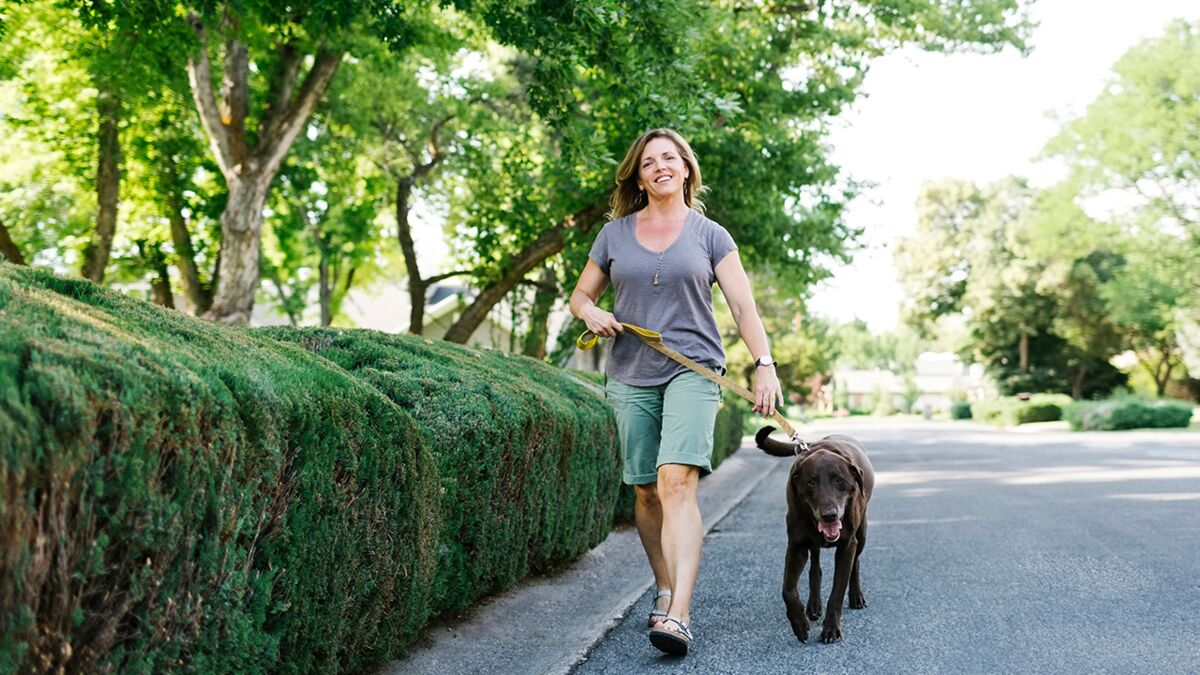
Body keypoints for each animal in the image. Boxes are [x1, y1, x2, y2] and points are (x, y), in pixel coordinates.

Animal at [753, 425, 878, 638]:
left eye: (839, 479)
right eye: (811, 482)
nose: (829, 515)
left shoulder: (847, 545)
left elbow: (837, 590)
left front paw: (831, 628)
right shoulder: (797, 545)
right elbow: (787, 589)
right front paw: (799, 622)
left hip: (861, 534)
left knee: (856, 563)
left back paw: (856, 596)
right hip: (813, 541)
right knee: (815, 567)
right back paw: (813, 606)